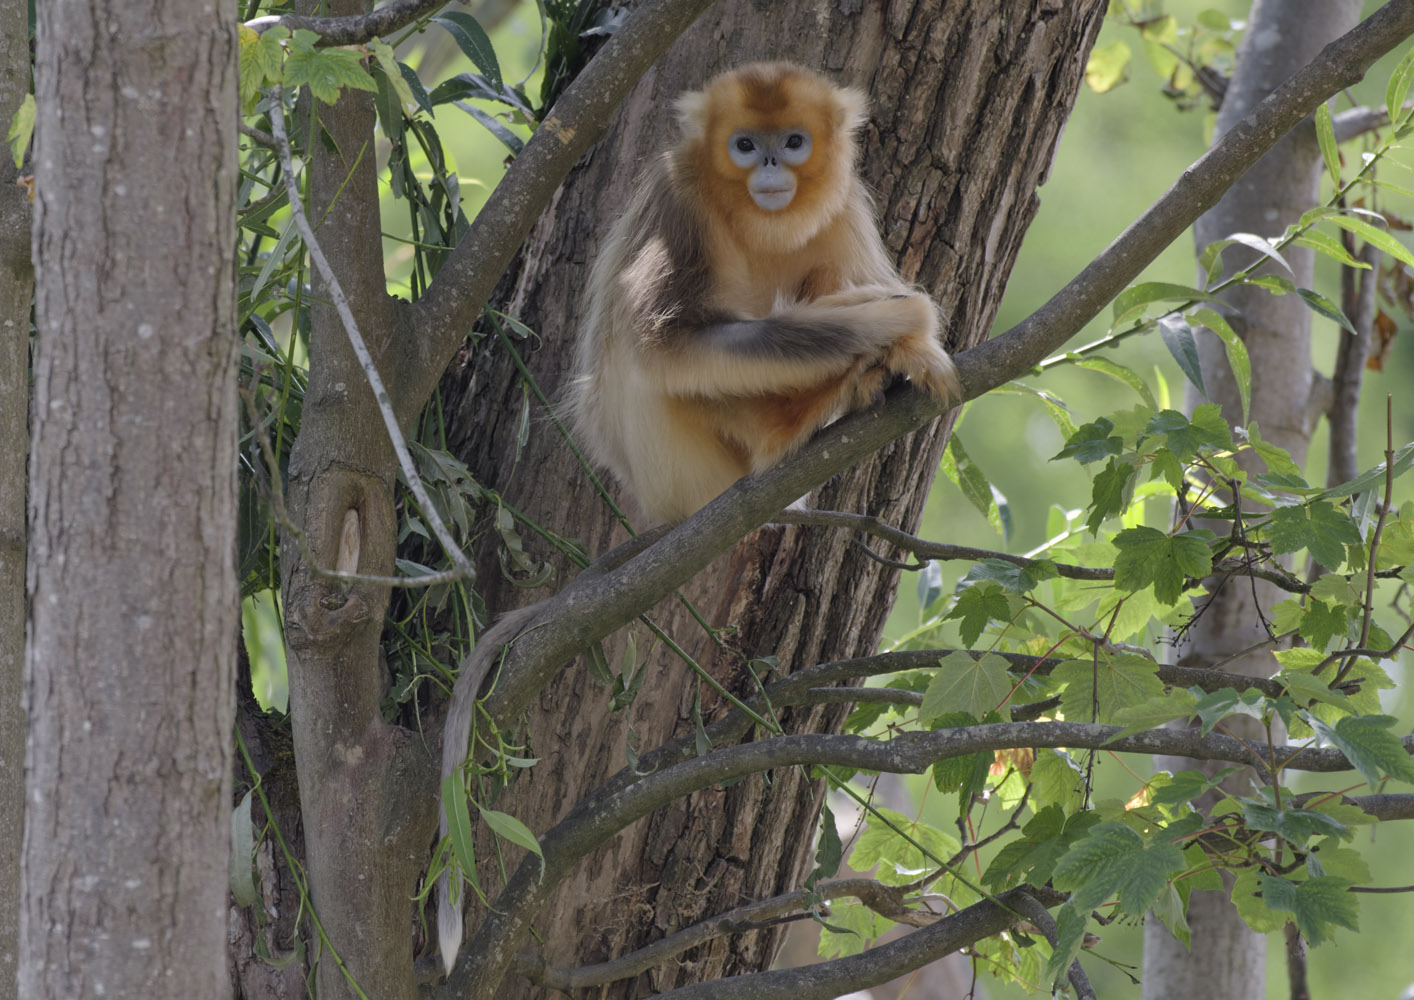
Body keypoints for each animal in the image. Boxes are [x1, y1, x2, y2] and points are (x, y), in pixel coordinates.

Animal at [566, 61, 961, 525]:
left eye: (793, 142)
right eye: (745, 145)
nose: (769, 163)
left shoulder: (847, 207)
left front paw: (909, 345)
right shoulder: (679, 198)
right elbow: (666, 344)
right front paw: (902, 318)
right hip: (683, 475)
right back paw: (797, 420)